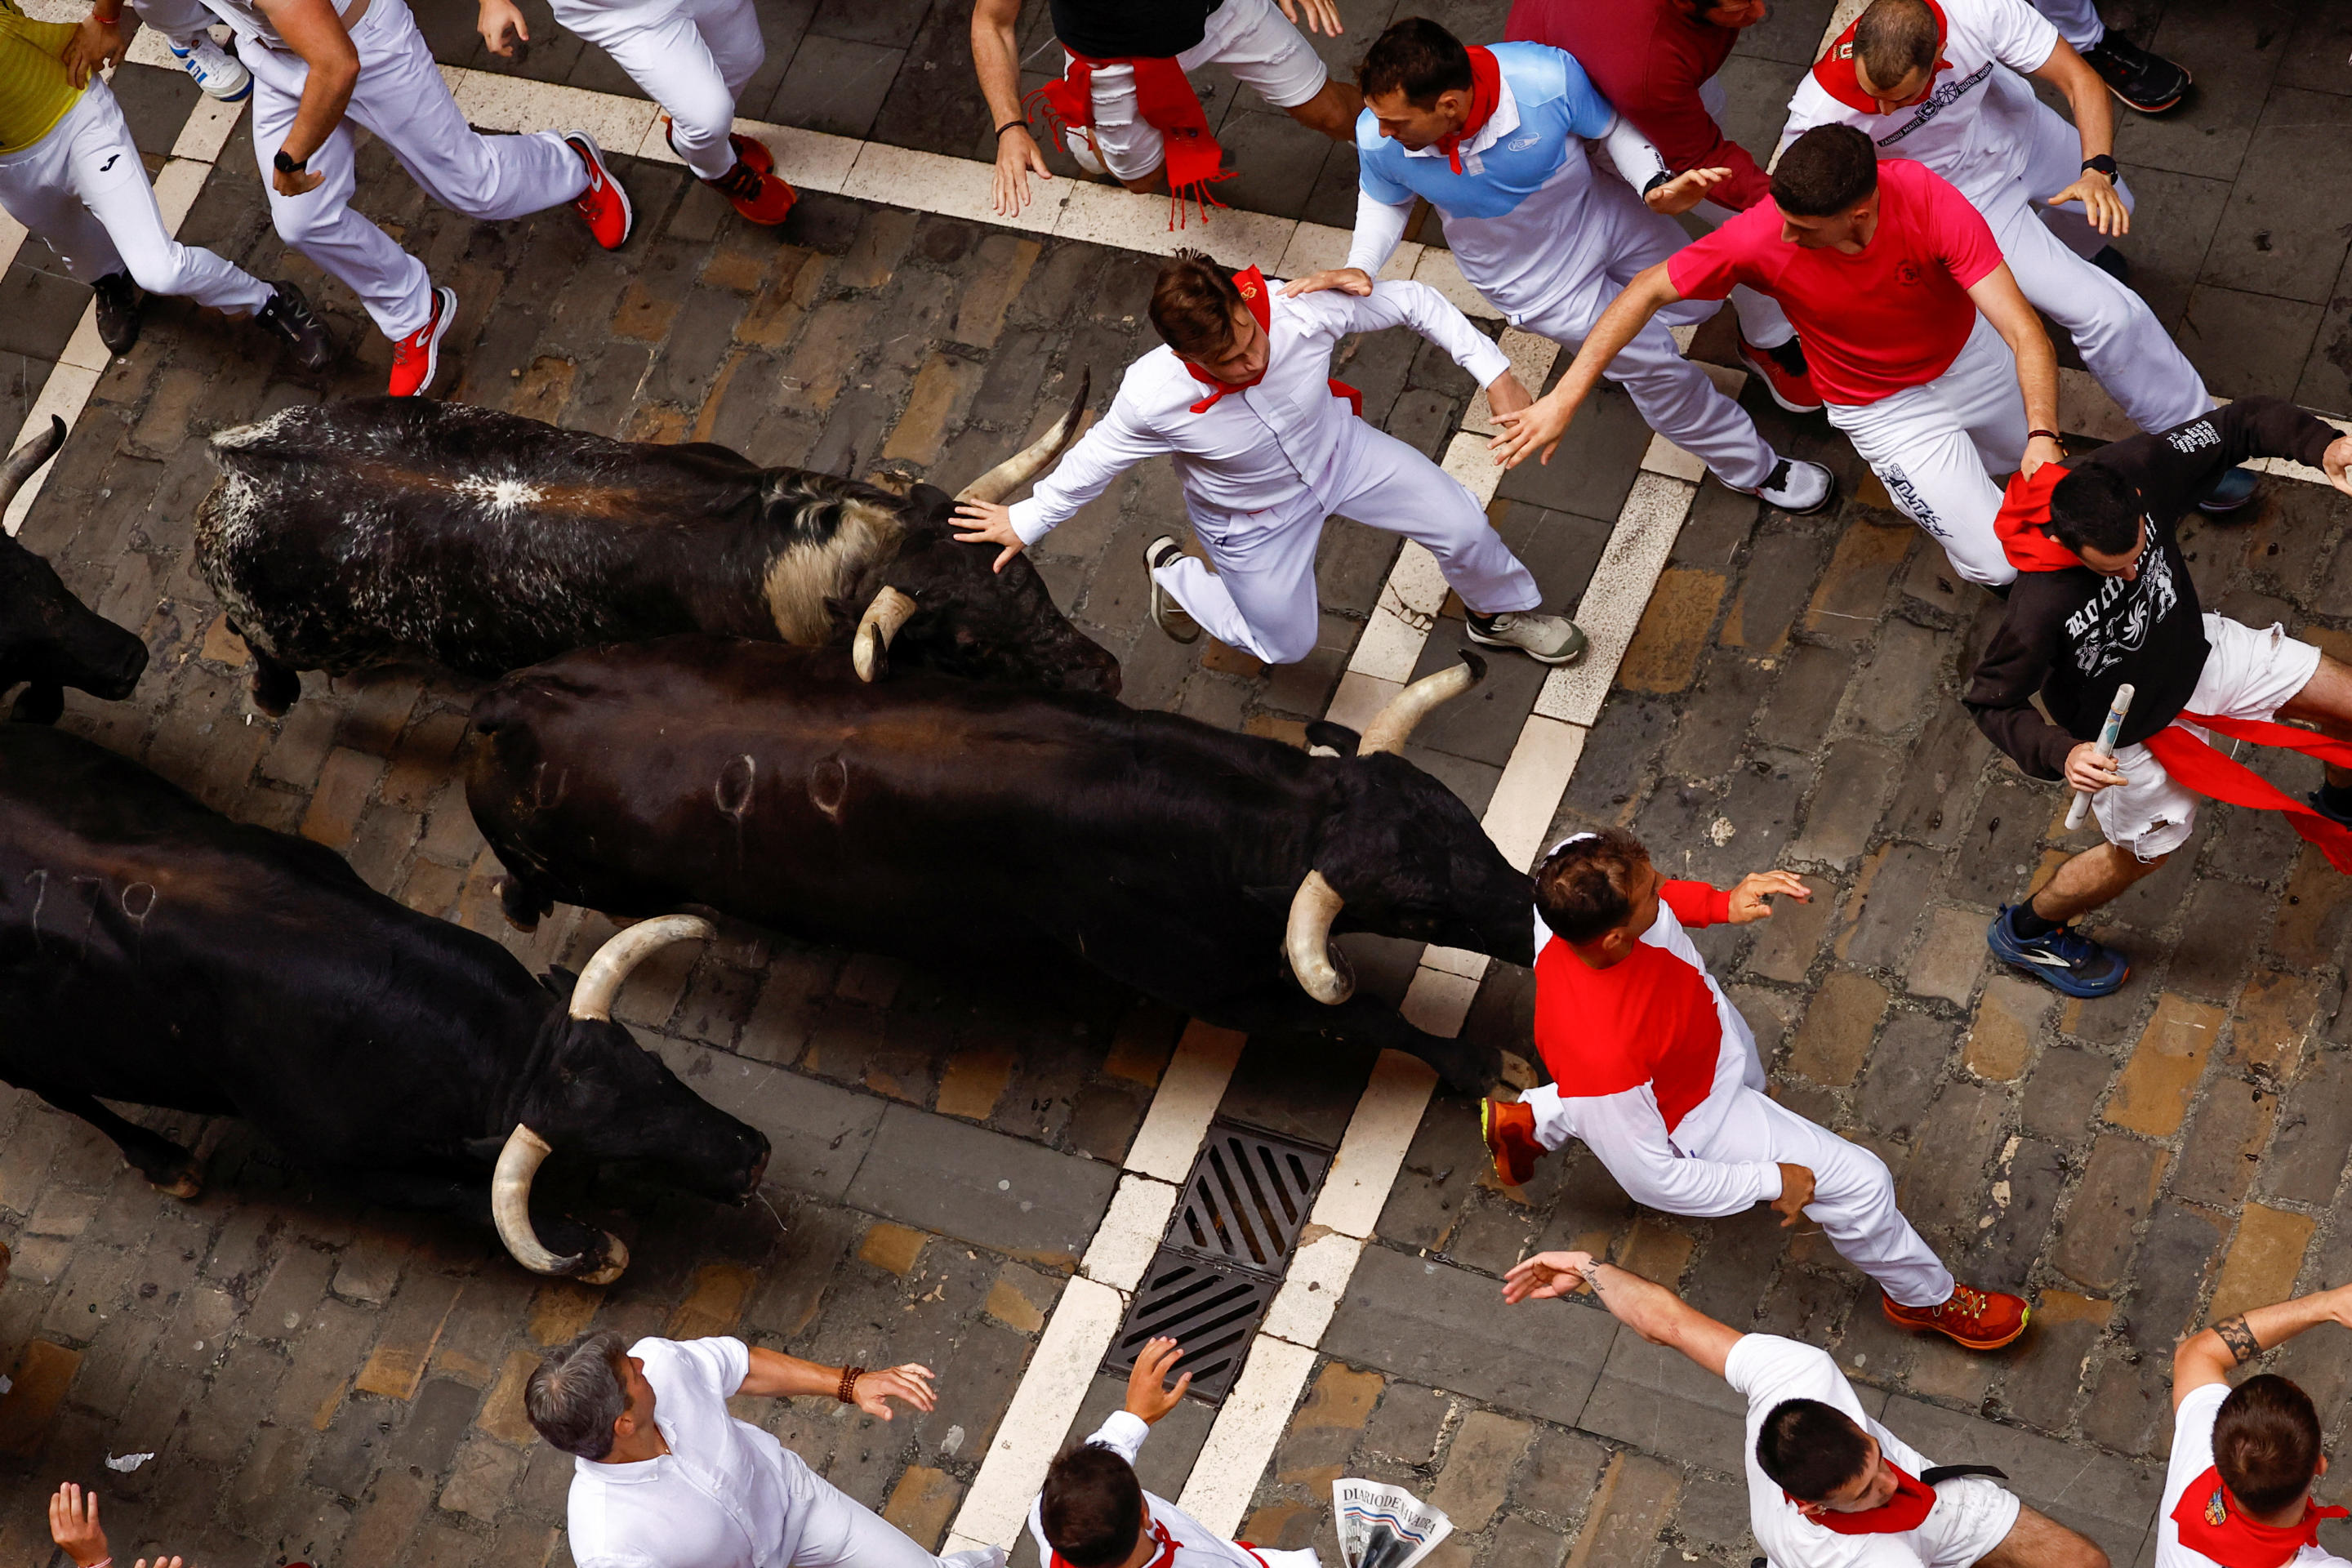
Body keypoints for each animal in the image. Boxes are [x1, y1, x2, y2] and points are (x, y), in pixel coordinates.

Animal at [0, 728, 762, 1278]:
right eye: (610, 1150)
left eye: (655, 1065)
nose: (753, 1156)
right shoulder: (344, 1163)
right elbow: (459, 1197)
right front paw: (595, 1250)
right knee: (62, 1092)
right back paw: (164, 1162)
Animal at [188, 390, 1115, 715]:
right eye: (967, 643)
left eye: (1027, 576)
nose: (1102, 673)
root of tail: (238, 458)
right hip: (289, 632)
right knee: (264, 655)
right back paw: (273, 695)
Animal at [466, 639, 1533, 1090]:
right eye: (1423, 911)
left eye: (1463, 818)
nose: (1534, 912)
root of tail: (511, 700)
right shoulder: (1228, 991)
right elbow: (1371, 1016)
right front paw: (1481, 1065)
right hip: (589, 877)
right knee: (532, 881)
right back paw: (518, 907)